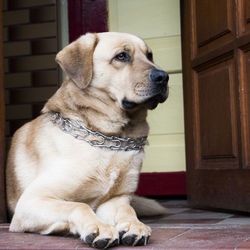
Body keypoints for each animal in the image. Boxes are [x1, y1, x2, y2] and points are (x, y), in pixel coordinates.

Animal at [5, 31, 169, 248]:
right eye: (122, 56)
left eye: (150, 55)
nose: (164, 77)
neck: (110, 139)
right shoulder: (32, 200)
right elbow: (79, 206)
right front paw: (98, 227)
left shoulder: (115, 200)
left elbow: (127, 209)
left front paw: (134, 225)